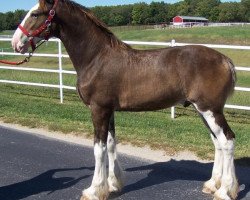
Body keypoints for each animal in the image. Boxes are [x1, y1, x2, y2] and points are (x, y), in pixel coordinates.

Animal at [11, 0, 238, 200]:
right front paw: (113, 184)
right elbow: (111, 144)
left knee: (227, 140)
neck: (97, 58)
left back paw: (225, 191)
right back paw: (212, 184)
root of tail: (225, 60)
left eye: (35, 14)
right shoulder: (109, 110)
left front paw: (94, 190)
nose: (15, 42)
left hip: (210, 109)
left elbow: (99, 149)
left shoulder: (99, 109)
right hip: (203, 111)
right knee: (217, 142)